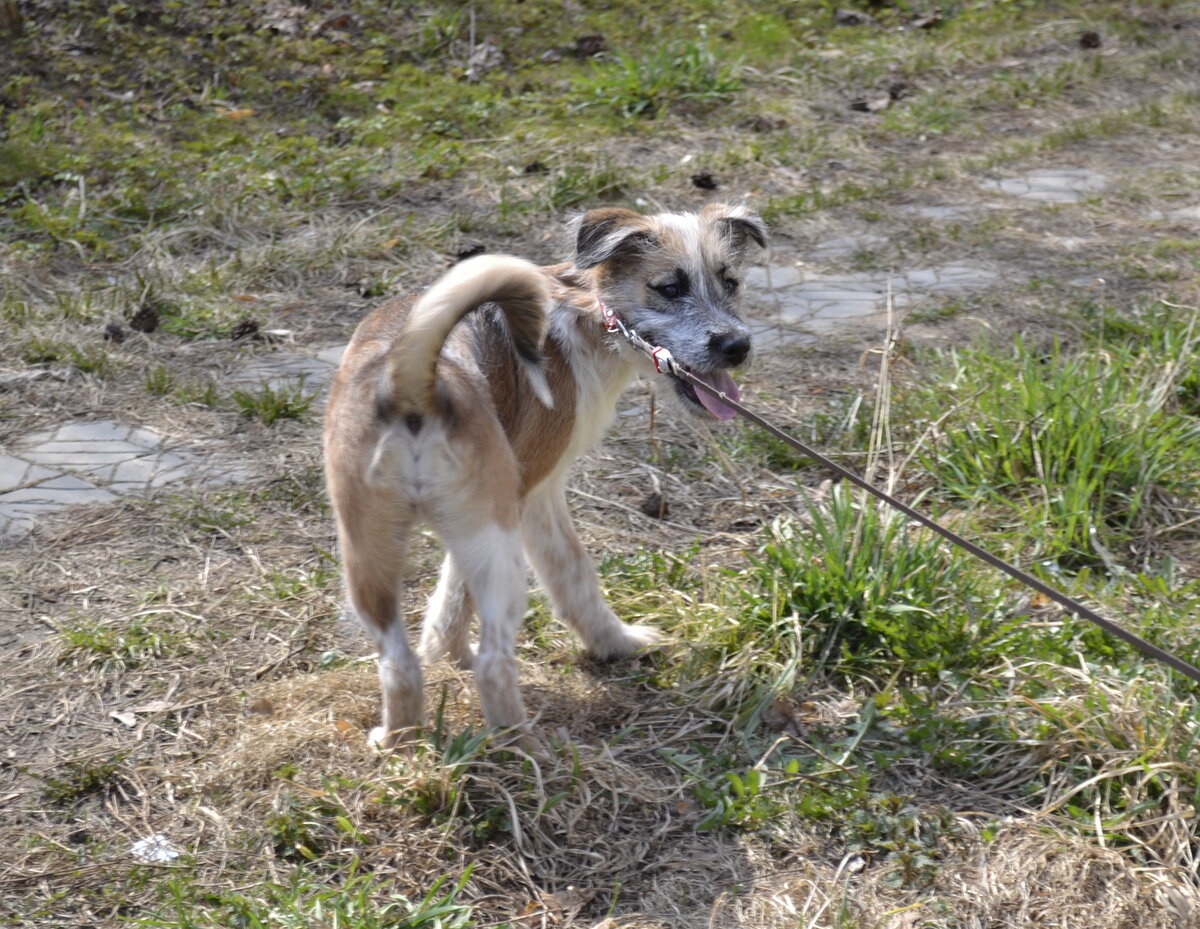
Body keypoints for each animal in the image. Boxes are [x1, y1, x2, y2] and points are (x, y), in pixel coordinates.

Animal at [324, 204, 763, 748]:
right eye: (669, 287)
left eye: (730, 282)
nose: (736, 346)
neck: (588, 313)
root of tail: (411, 381)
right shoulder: (534, 495)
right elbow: (573, 576)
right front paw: (616, 643)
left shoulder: (487, 518)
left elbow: (450, 594)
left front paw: (445, 654)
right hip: (498, 556)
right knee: (496, 662)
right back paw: (521, 746)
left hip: (370, 553)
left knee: (398, 663)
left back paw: (398, 741)